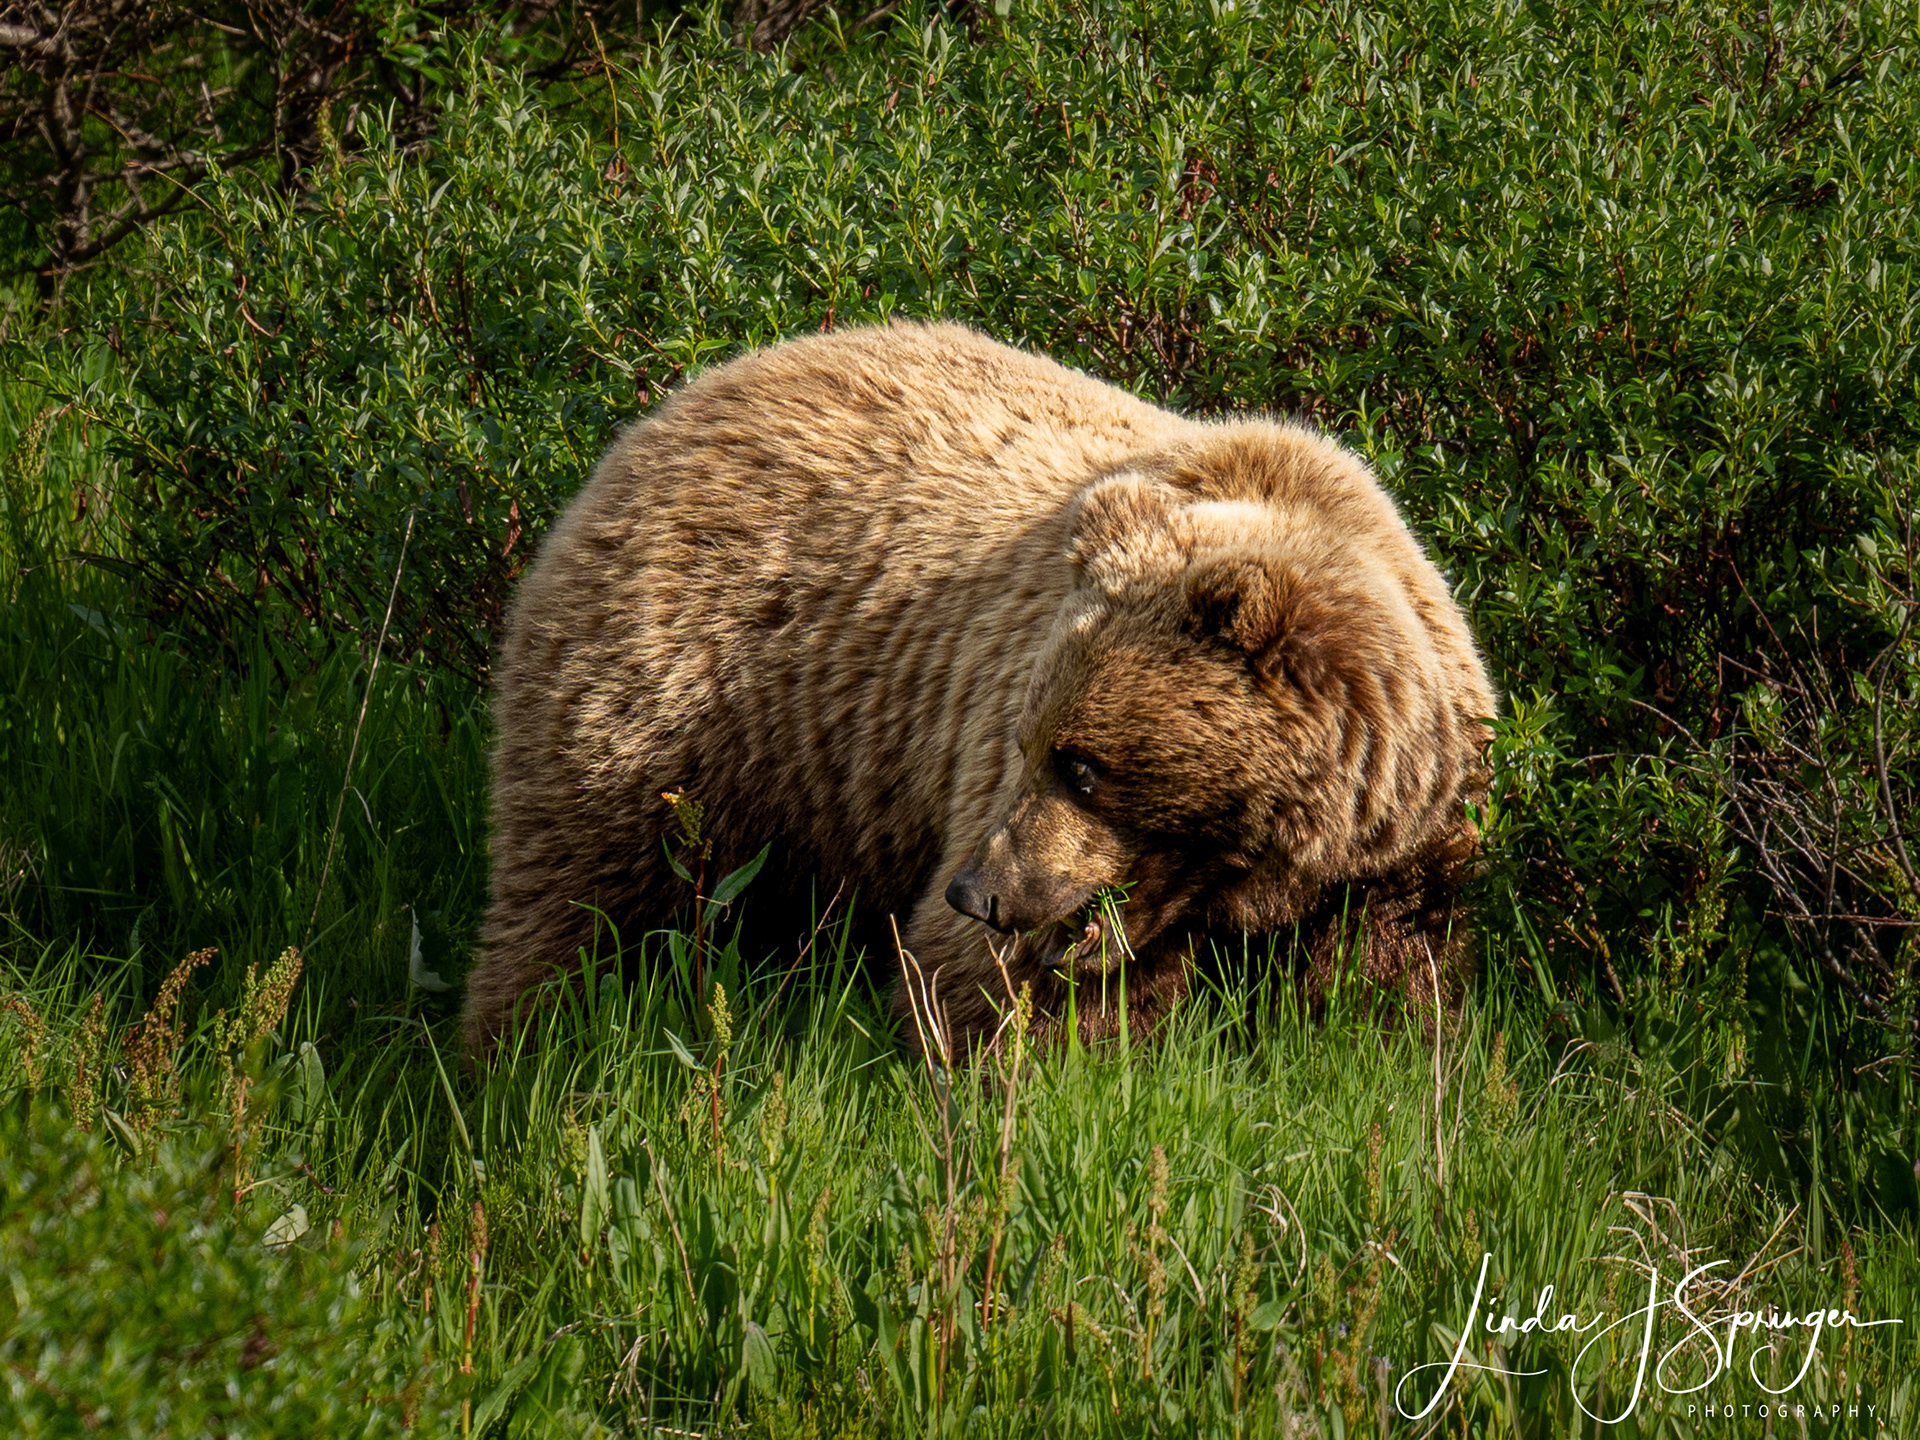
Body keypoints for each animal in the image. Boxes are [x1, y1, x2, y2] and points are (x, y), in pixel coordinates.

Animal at [462, 321, 1498, 1059]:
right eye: (1034, 745)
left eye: (1084, 767)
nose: (979, 892)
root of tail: (670, 408)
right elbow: (989, 992)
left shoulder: (1404, 852)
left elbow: (1391, 984)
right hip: (676, 697)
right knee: (582, 887)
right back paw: (522, 1050)